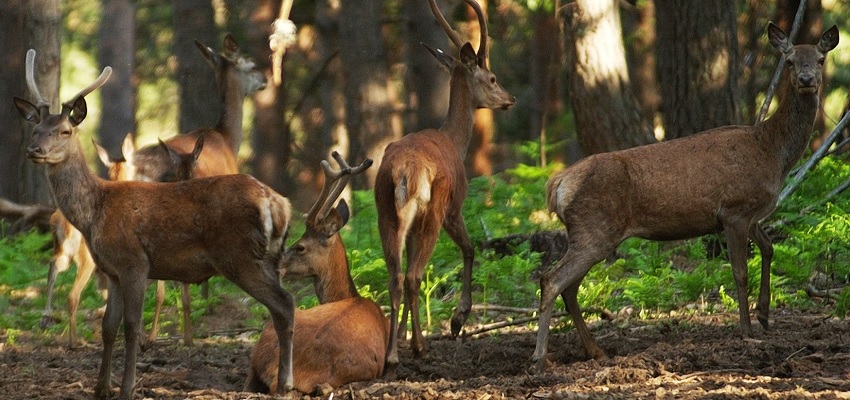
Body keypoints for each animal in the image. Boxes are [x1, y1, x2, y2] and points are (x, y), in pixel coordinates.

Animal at [14, 49, 294, 400]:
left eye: (65, 131)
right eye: (35, 128)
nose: (34, 150)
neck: (95, 212)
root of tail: (278, 203)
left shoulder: (134, 262)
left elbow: (132, 326)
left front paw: (127, 387)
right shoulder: (112, 270)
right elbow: (108, 327)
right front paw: (101, 387)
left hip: (240, 256)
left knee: (284, 303)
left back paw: (285, 383)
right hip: (269, 257)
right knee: (285, 304)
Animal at [372, 0, 516, 378]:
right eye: (492, 77)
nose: (509, 98)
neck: (454, 140)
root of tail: (403, 172)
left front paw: (403, 333)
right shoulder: (455, 207)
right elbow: (470, 249)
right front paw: (457, 319)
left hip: (386, 213)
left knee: (395, 275)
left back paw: (393, 353)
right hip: (432, 211)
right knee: (413, 275)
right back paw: (420, 347)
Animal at [532, 21, 840, 372]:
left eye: (820, 59)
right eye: (789, 61)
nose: (807, 80)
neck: (773, 153)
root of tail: (558, 184)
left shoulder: (750, 214)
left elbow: (769, 248)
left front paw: (764, 315)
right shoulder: (734, 210)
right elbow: (740, 272)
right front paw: (747, 331)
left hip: (588, 233)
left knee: (568, 287)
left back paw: (595, 351)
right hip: (595, 229)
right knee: (551, 280)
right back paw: (540, 357)